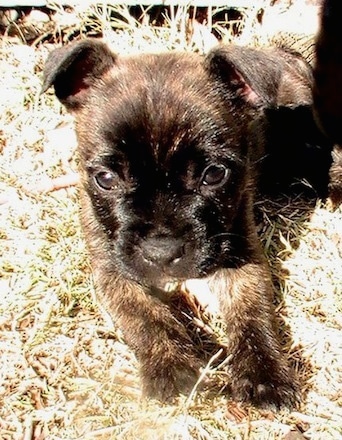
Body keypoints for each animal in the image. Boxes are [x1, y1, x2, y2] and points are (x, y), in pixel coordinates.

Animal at [41, 39, 312, 408]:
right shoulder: (112, 271)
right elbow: (145, 318)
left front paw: (264, 375)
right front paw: (171, 366)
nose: (161, 252)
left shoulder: (242, 255)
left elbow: (252, 313)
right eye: (105, 179)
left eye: (214, 174)